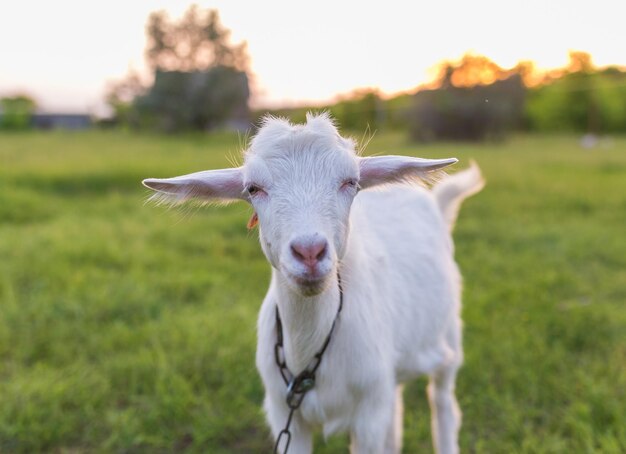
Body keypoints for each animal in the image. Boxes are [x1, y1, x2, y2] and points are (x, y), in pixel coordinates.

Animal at [141, 112, 482, 450]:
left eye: (351, 182)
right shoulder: (285, 413)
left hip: (449, 336)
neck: (308, 347)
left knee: (443, 401)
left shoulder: (367, 417)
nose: (309, 251)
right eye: (253, 188)